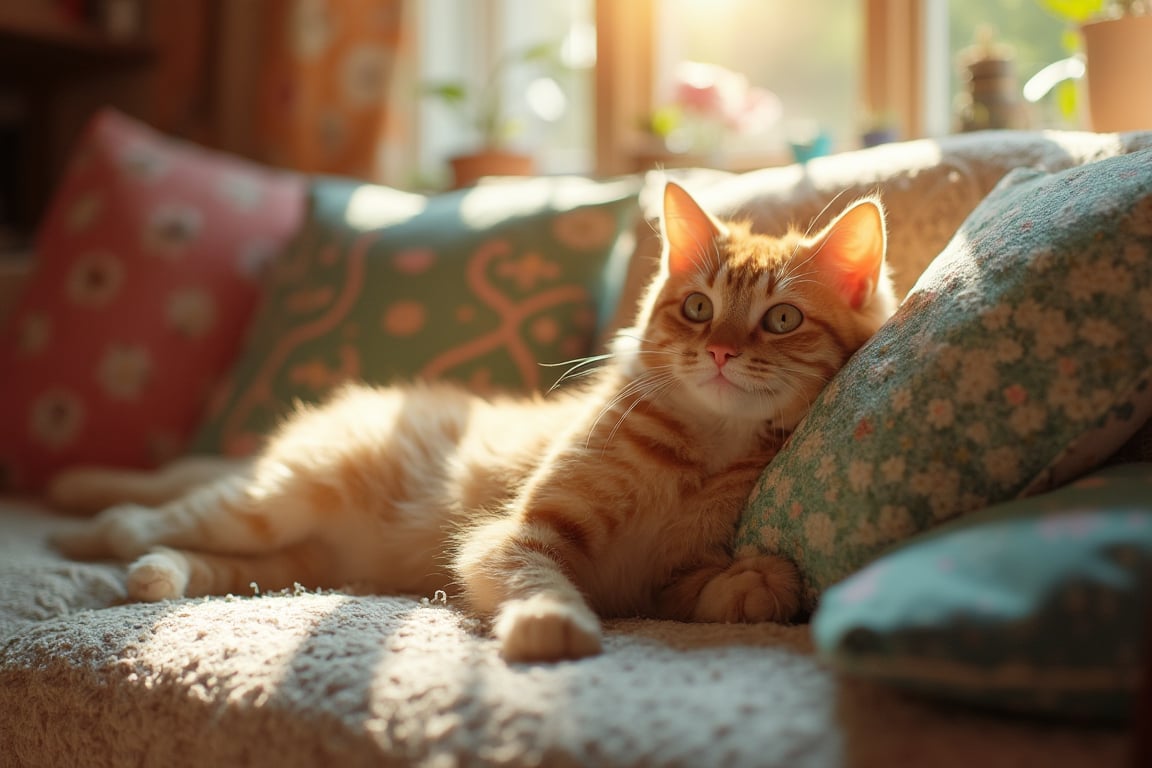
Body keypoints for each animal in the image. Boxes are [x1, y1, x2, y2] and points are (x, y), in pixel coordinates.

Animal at [51, 183, 898, 663]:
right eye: (697, 307)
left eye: (781, 319)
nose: (720, 350)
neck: (702, 450)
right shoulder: (514, 536)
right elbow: (539, 578)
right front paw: (553, 625)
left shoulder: (663, 581)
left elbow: (706, 591)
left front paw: (759, 581)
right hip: (274, 501)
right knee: (166, 509)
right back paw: (90, 525)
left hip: (293, 557)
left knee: (206, 558)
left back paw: (153, 571)